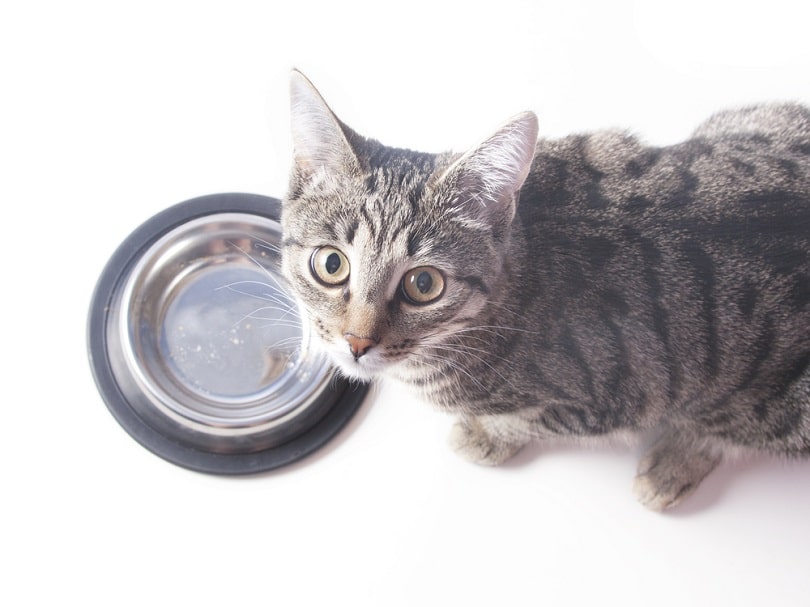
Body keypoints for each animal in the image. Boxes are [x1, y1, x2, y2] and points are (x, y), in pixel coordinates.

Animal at [280, 69, 808, 510]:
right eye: (331, 264)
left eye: (424, 284)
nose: (356, 342)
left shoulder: (613, 401)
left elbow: (525, 419)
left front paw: (486, 435)